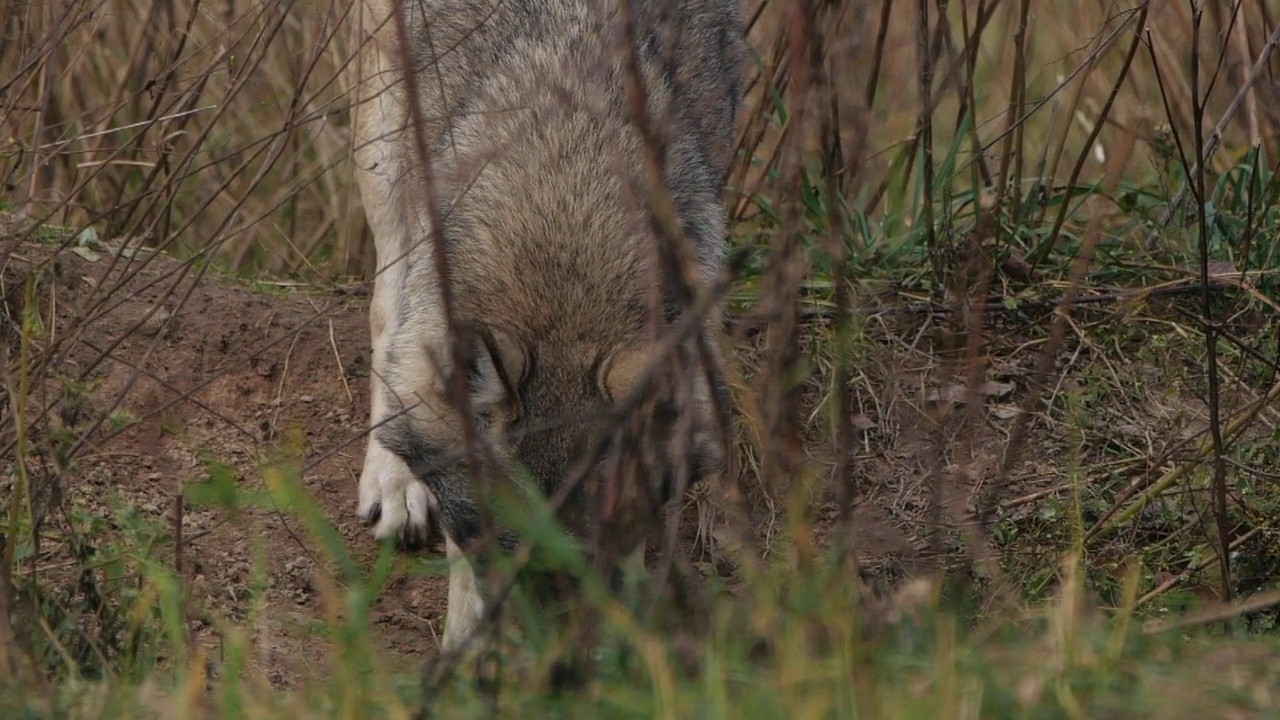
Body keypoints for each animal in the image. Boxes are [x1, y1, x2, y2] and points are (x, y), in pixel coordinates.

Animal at [345, 0, 747, 650]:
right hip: (386, 148)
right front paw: (468, 645)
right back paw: (392, 483)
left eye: (594, 552)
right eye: (502, 543)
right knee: (388, 308)